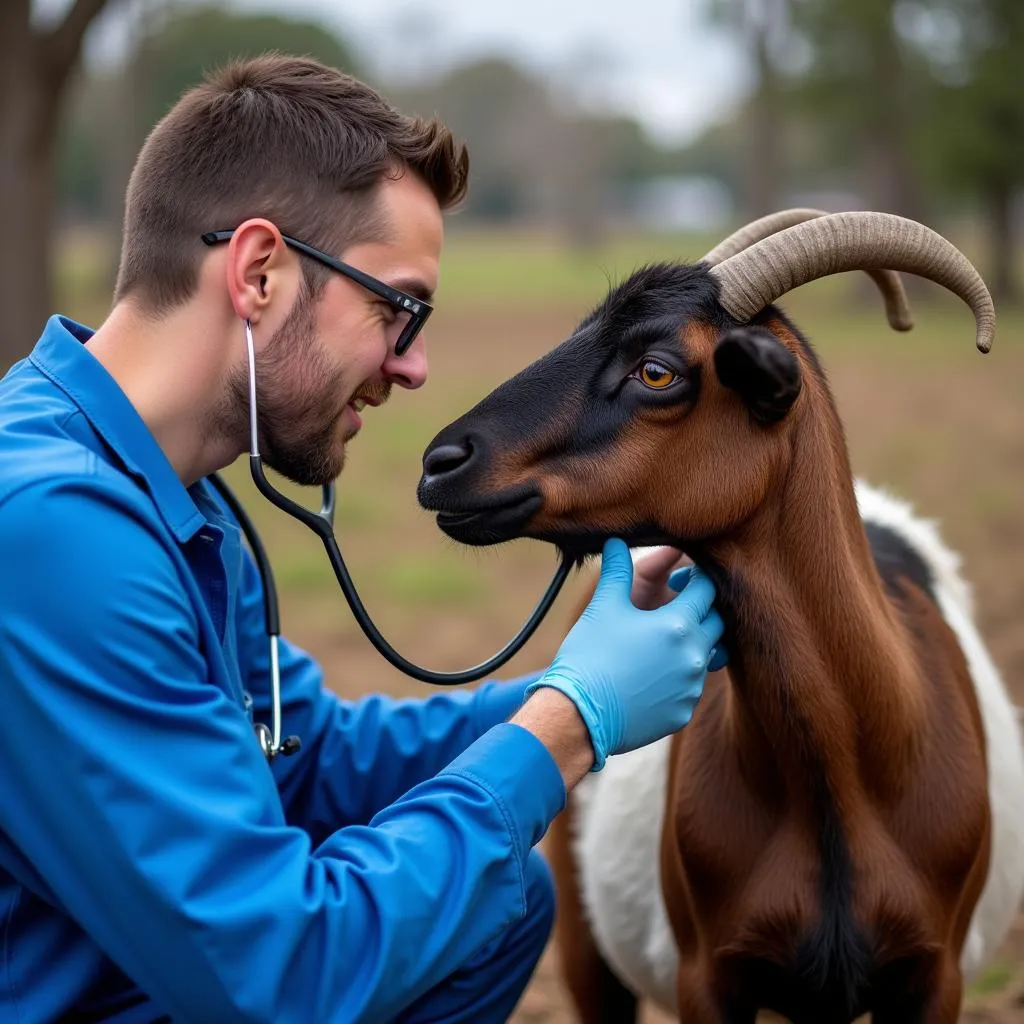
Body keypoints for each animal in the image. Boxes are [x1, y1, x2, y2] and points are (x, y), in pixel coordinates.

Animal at [417, 209, 1024, 1024]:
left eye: (657, 370)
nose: (441, 461)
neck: (848, 777)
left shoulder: (936, 978)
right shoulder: (707, 974)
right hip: (585, 944)